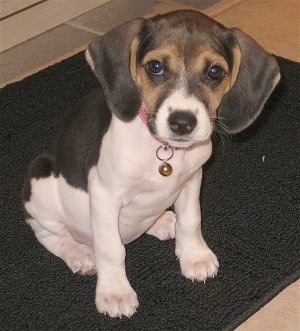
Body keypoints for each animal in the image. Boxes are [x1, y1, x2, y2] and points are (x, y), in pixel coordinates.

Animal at [22, 10, 280, 320]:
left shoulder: (192, 179)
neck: (164, 148)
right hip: (40, 186)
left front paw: (194, 256)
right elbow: (111, 249)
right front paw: (115, 292)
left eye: (215, 72)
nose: (182, 122)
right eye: (155, 67)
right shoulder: (105, 196)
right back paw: (79, 254)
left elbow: (191, 220)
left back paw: (162, 221)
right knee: (49, 235)